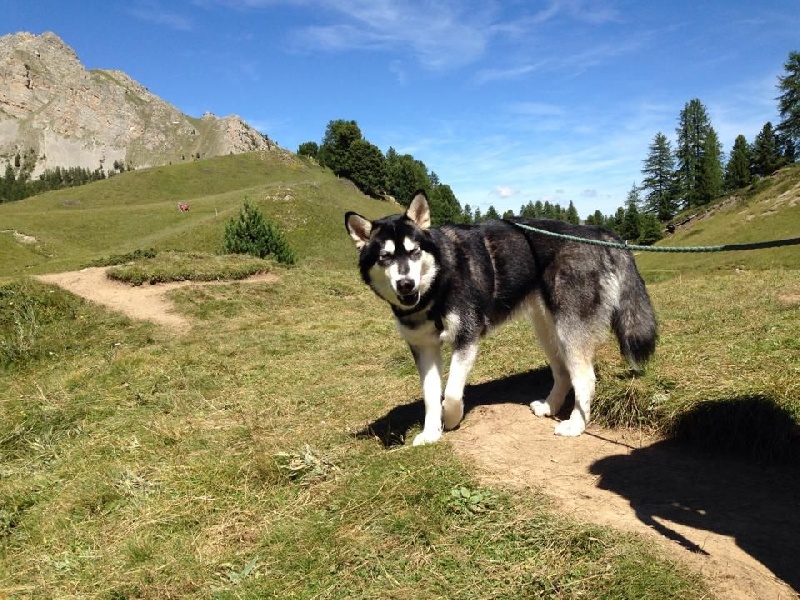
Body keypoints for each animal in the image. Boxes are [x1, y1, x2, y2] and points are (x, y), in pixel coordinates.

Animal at [344, 192, 656, 446]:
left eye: (414, 251)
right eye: (385, 257)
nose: (406, 284)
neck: (438, 286)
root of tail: (595, 231)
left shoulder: (467, 337)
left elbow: (452, 392)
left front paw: (451, 418)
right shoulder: (423, 348)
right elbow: (431, 395)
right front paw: (431, 432)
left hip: (569, 328)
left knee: (586, 377)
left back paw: (576, 425)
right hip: (547, 329)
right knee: (564, 372)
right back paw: (551, 407)